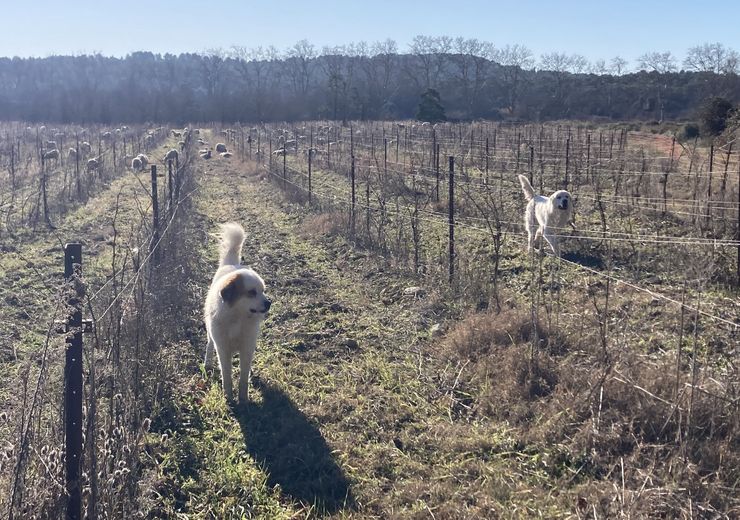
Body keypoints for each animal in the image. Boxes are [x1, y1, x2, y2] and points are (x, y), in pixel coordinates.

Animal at [204, 221, 270, 404]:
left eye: (263, 291)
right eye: (252, 292)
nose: (269, 303)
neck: (236, 319)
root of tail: (231, 265)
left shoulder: (247, 348)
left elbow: (243, 377)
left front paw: (243, 399)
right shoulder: (223, 349)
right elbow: (227, 376)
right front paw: (229, 398)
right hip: (211, 334)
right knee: (209, 344)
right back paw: (207, 363)